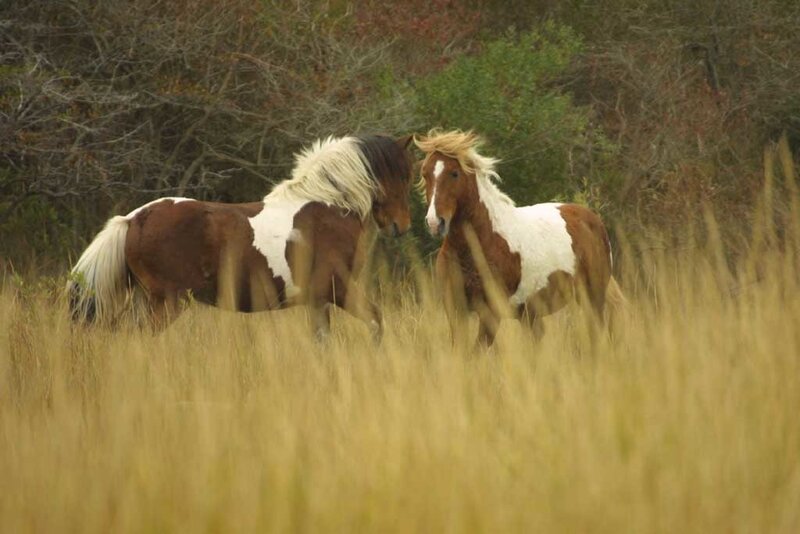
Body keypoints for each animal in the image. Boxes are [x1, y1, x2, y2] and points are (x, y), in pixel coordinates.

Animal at [67, 134, 414, 339]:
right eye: (403, 175)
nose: (402, 226)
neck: (327, 206)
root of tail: (134, 219)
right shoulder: (338, 288)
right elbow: (375, 321)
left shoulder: (318, 300)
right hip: (165, 303)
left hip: (145, 300)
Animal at [415, 129, 625, 347]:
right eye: (425, 174)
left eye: (454, 173)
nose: (435, 222)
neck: (480, 243)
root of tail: (593, 220)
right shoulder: (455, 308)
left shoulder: (491, 310)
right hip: (531, 314)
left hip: (593, 300)